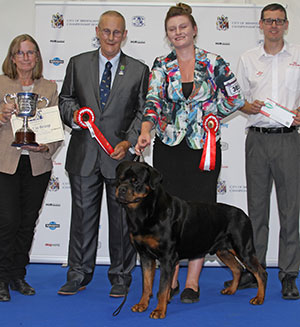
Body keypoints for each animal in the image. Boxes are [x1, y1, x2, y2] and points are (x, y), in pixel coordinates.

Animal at [115, 161, 268, 320]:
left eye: (136, 182)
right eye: (119, 179)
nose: (121, 189)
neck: (145, 212)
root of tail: (245, 215)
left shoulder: (167, 257)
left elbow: (163, 287)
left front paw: (159, 310)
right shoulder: (145, 256)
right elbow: (146, 284)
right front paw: (142, 304)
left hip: (243, 249)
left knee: (260, 272)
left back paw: (259, 298)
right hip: (223, 250)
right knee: (237, 268)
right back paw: (231, 290)